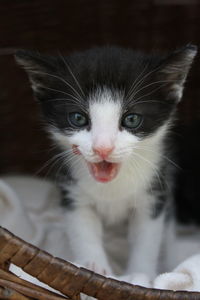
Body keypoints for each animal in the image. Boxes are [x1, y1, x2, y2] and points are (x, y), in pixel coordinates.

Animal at [15, 45, 197, 284]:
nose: (103, 148)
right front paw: (94, 268)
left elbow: (147, 239)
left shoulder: (155, 191)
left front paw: (141, 274)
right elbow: (83, 230)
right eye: (78, 118)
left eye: (131, 119)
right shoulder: (73, 191)